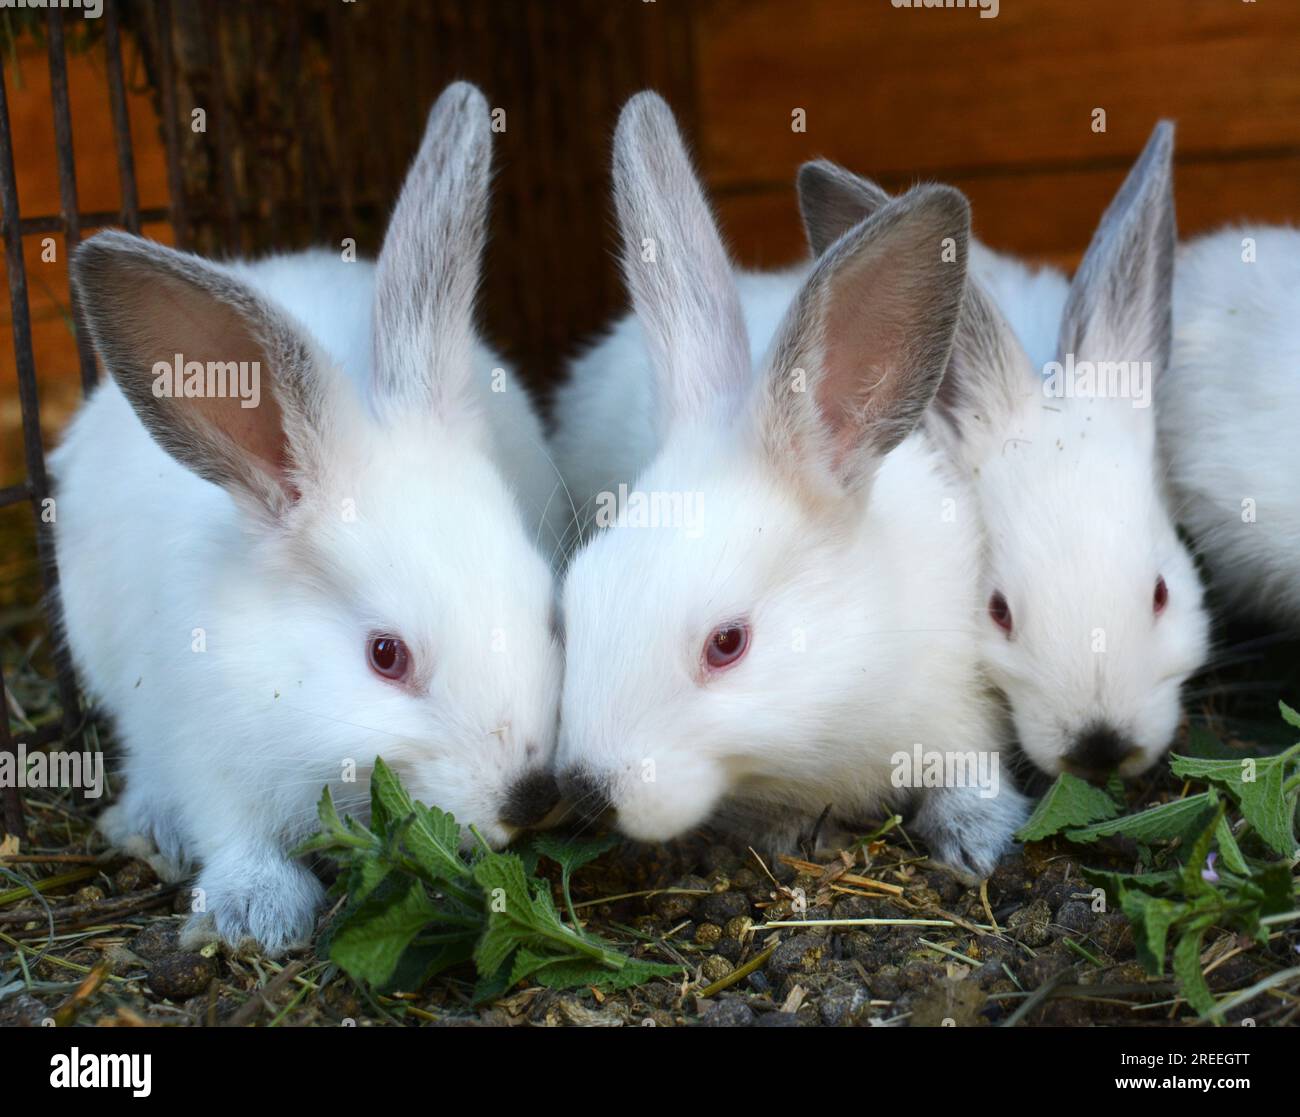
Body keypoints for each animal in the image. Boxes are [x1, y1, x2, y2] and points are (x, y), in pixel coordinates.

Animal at [50, 82, 565, 955]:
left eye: (547, 609)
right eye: (386, 656)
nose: (528, 796)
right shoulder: (210, 750)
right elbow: (232, 829)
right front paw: (256, 909)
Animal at [550, 92, 1030, 878]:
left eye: (728, 643)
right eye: (576, 602)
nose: (590, 789)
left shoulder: (962, 708)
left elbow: (969, 774)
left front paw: (975, 842)